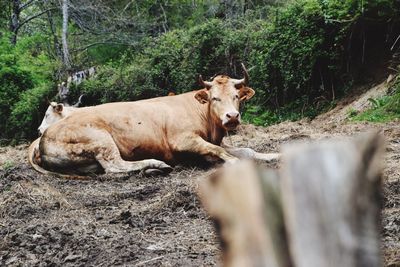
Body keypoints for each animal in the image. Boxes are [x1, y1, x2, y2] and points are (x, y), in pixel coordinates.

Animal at [28, 64, 278, 178]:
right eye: (214, 97)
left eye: (236, 96)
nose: (232, 117)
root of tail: (44, 137)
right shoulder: (183, 140)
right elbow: (221, 152)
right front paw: (233, 163)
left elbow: (247, 150)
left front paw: (275, 155)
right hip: (101, 140)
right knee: (114, 167)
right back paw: (156, 165)